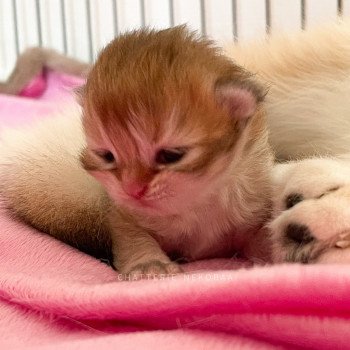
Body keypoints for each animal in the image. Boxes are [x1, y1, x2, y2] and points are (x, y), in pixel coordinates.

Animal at [0, 26, 274, 276]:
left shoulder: (251, 207)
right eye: (107, 156)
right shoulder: (122, 212)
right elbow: (132, 235)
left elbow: (260, 235)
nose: (133, 189)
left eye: (170, 156)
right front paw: (149, 264)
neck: (198, 201)